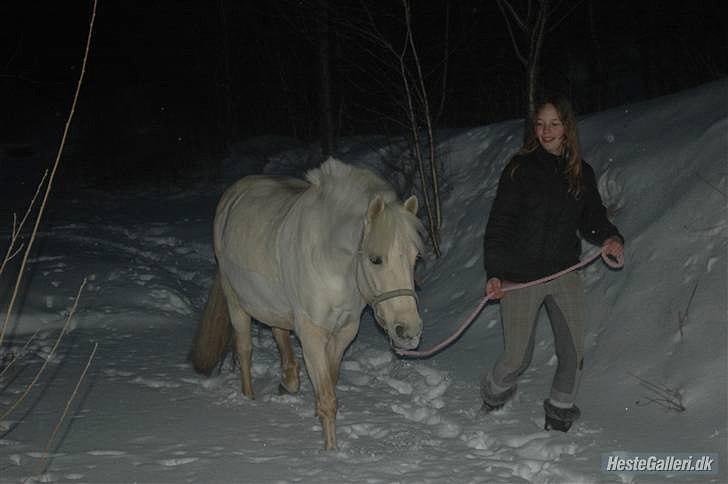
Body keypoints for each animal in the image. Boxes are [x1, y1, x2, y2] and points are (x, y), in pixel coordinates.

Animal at [191, 158, 424, 450]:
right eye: (375, 259)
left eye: (415, 258)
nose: (409, 331)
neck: (331, 260)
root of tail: (233, 193)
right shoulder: (312, 332)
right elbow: (327, 397)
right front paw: (331, 451)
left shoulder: (344, 331)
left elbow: (330, 382)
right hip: (235, 298)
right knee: (244, 349)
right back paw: (249, 398)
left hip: (274, 303)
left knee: (278, 330)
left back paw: (288, 382)